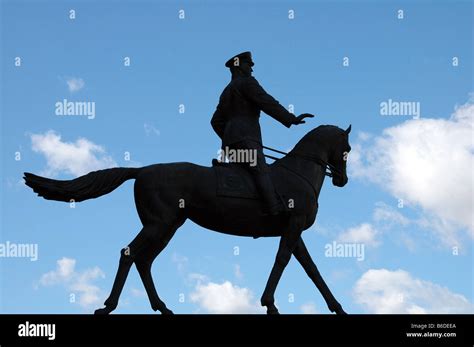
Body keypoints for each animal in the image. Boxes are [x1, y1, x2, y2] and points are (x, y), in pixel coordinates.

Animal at [25, 125, 352, 316]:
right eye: (347, 150)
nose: (342, 180)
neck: (299, 174)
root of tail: (141, 170)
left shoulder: (293, 230)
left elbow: (311, 268)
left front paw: (337, 307)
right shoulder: (293, 226)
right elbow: (283, 260)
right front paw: (269, 303)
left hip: (167, 226)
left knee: (144, 261)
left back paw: (162, 307)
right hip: (159, 224)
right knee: (129, 254)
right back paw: (108, 306)